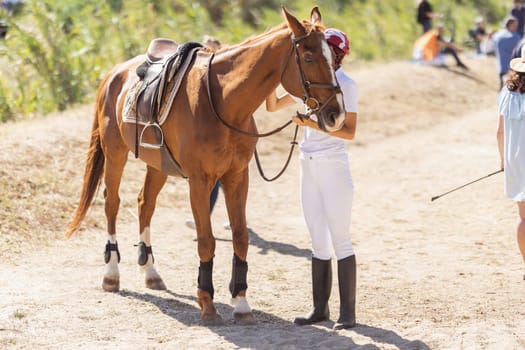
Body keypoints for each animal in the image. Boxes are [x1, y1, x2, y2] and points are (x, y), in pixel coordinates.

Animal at [64, 6, 344, 326]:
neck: (223, 101)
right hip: (115, 154)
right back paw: (111, 273)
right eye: (308, 58)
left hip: (157, 165)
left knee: (145, 204)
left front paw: (241, 302)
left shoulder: (237, 177)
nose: (336, 114)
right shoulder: (199, 181)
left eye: (333, 59)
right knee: (112, 203)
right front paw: (207, 304)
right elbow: (206, 241)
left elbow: (240, 237)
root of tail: (113, 73)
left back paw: (151, 272)